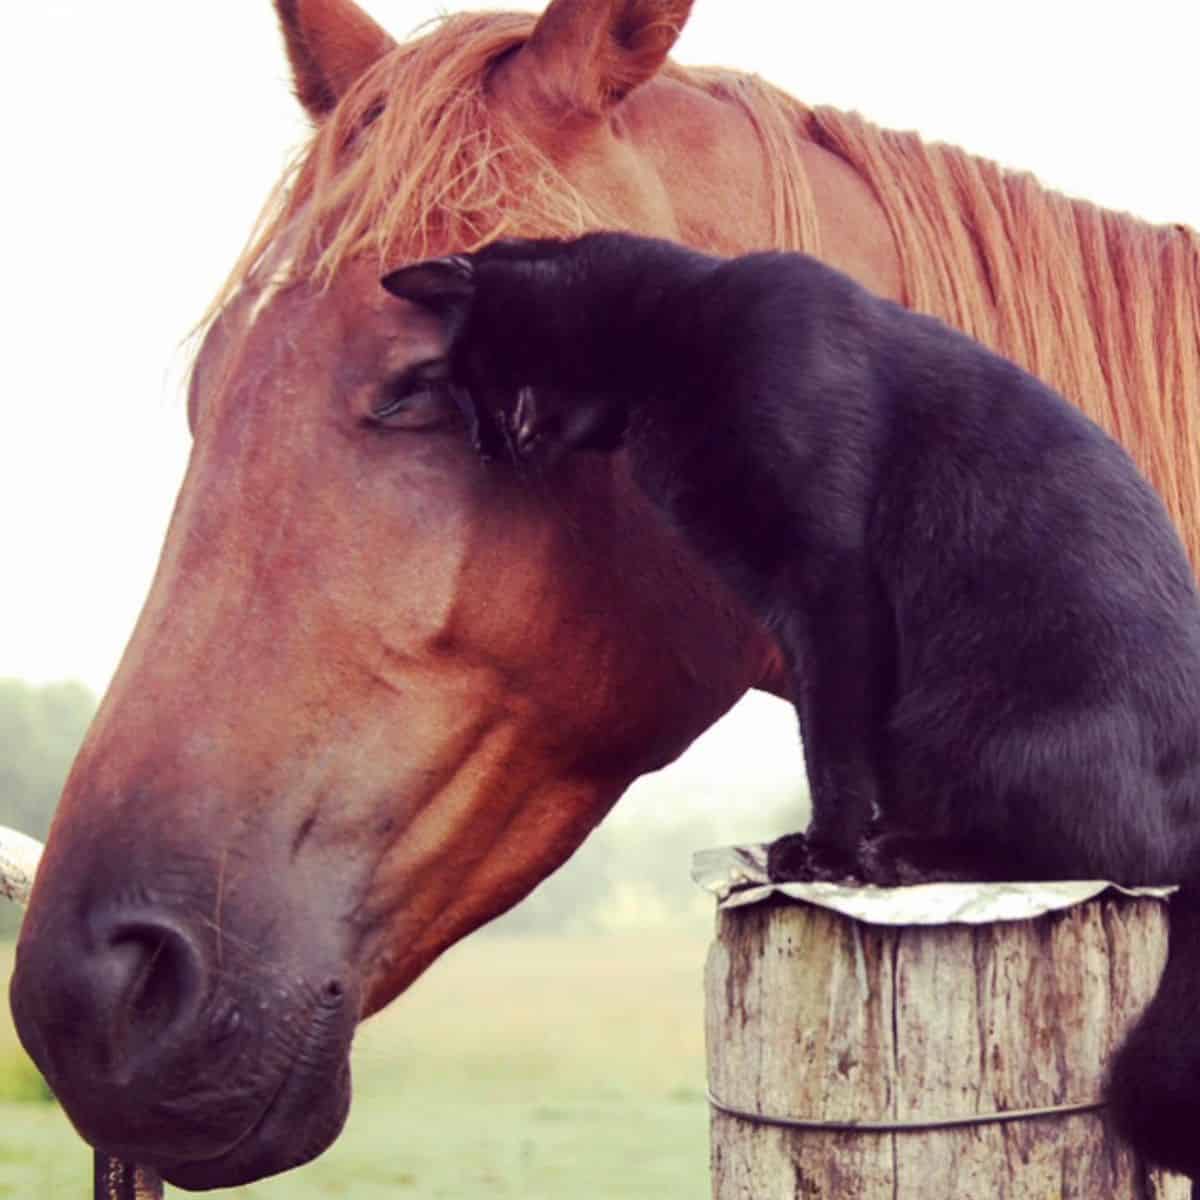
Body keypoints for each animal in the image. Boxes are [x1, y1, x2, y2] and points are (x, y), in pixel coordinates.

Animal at [381, 231, 1200, 1171]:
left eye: (481, 385)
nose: (490, 446)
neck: (675, 338)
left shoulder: (828, 582)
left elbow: (832, 738)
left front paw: (827, 852)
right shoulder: (784, 601)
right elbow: (824, 726)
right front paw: (831, 844)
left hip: (978, 728)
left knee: (1100, 858)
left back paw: (904, 859)